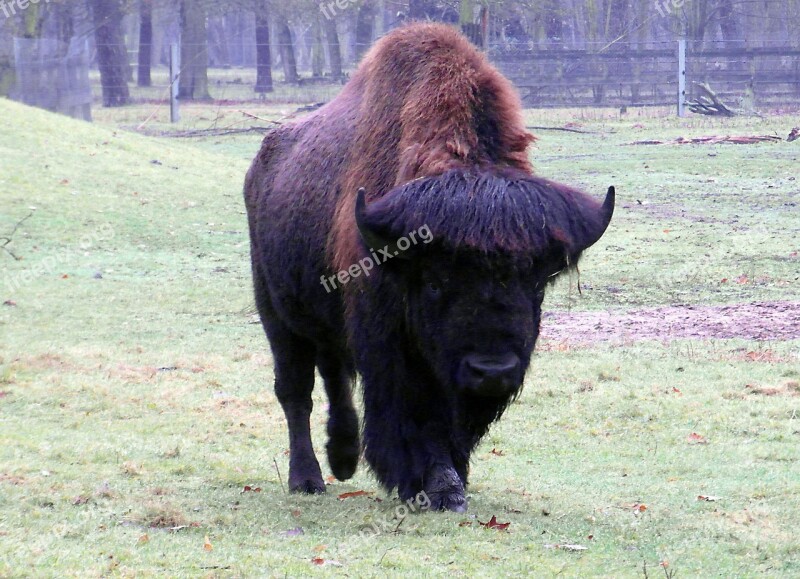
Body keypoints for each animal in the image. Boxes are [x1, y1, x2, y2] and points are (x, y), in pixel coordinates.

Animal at [244, 21, 612, 512]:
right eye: (436, 281)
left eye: (536, 283)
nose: (492, 371)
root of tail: (261, 165)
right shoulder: (393, 349)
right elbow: (414, 413)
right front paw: (437, 487)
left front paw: (448, 481)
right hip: (278, 316)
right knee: (295, 390)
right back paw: (307, 479)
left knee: (334, 375)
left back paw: (344, 458)